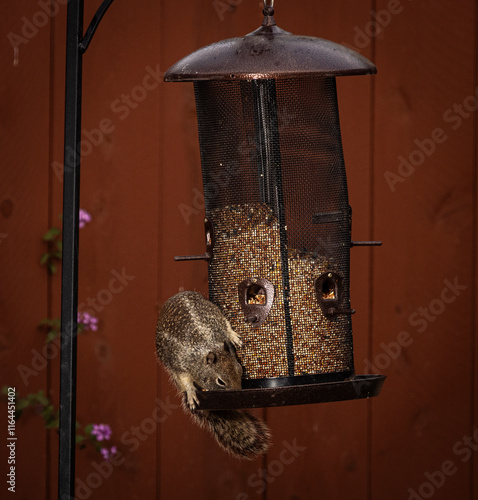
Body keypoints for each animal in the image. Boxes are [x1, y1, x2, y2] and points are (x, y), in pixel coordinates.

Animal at [155, 290, 270, 460]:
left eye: (240, 370)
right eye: (220, 382)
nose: (239, 397)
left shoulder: (217, 323)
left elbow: (225, 326)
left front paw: (233, 336)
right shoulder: (179, 364)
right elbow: (185, 380)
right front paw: (191, 392)